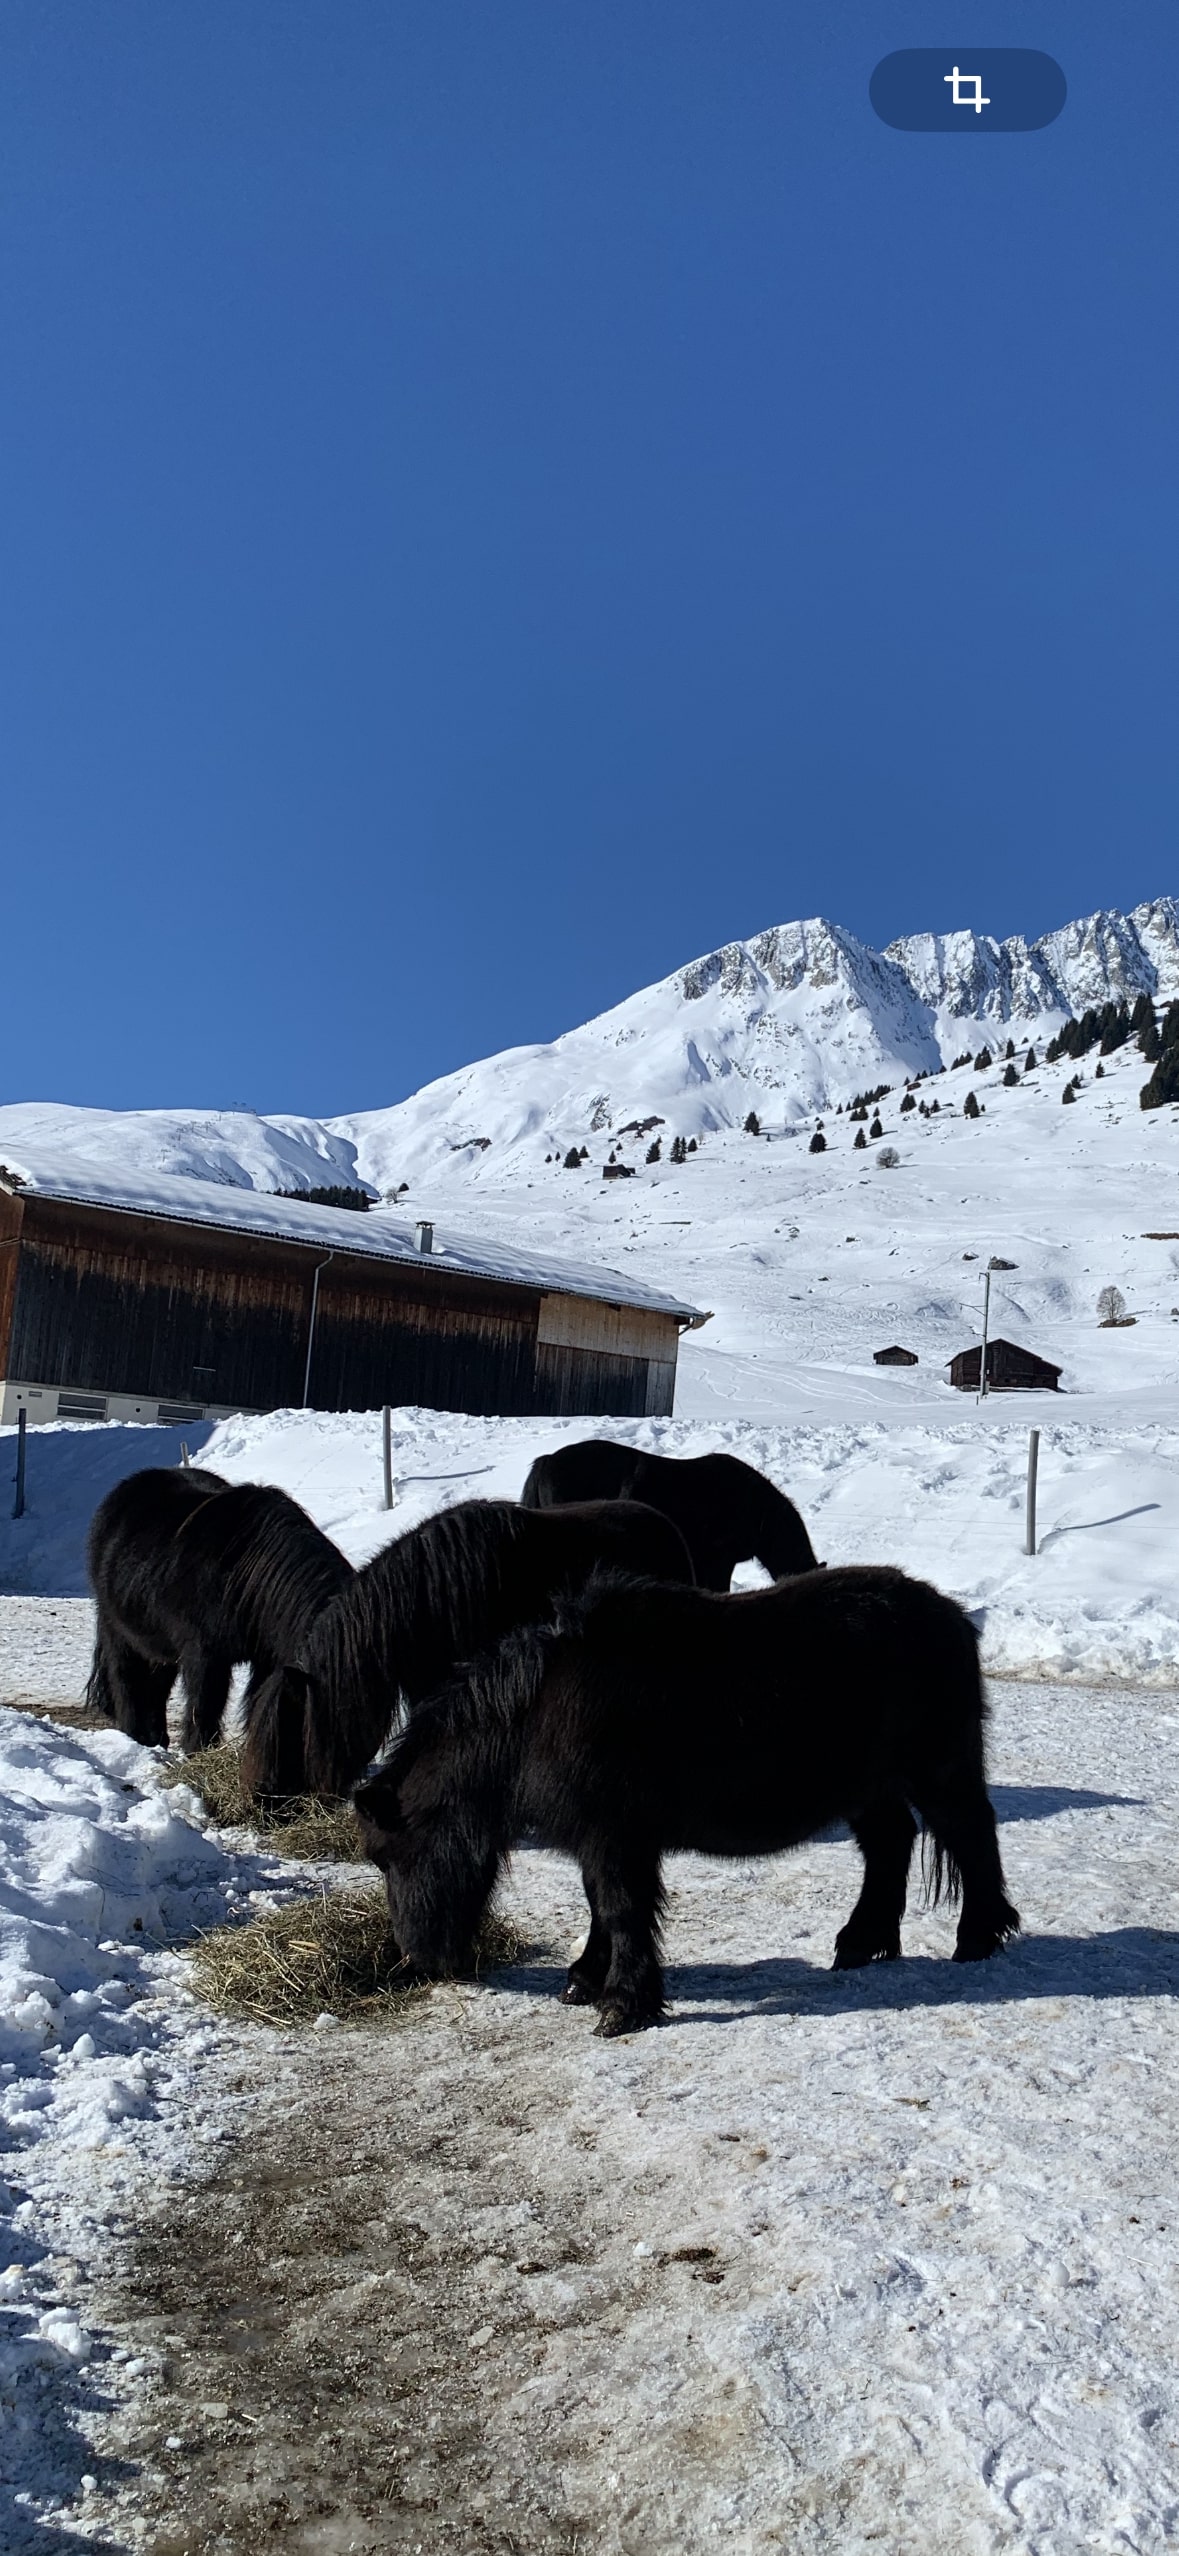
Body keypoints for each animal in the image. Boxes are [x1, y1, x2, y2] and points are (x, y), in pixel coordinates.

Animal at [86, 1469, 353, 1753]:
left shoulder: (267, 1660)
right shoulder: (205, 1656)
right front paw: (197, 1751)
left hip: (159, 1647)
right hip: (119, 1634)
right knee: (127, 1684)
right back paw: (136, 1738)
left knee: (156, 1689)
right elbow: (204, 1707)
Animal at [352, 1563, 1020, 2037]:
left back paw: (977, 1940)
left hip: (939, 1771)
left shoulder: (615, 1838)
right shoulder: (604, 1841)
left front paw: (623, 2006)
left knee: (970, 1835)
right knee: (891, 1845)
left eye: (389, 1857)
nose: (419, 1959)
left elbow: (621, 1910)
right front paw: (586, 1982)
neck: (536, 1716)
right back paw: (861, 1942)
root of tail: (952, 1617)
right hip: (868, 1788)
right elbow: (601, 1908)